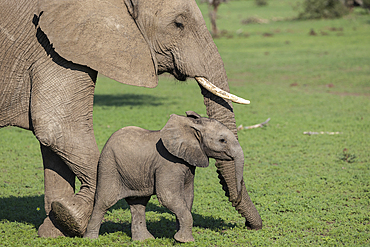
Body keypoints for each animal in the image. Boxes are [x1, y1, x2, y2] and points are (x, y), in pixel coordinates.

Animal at [84, 111, 246, 242]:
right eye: (222, 141)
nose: (235, 199)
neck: (190, 126)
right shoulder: (169, 164)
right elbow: (168, 196)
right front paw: (185, 241)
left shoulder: (187, 164)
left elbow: (188, 197)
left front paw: (178, 237)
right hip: (109, 165)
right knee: (104, 201)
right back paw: (91, 240)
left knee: (138, 203)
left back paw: (144, 240)